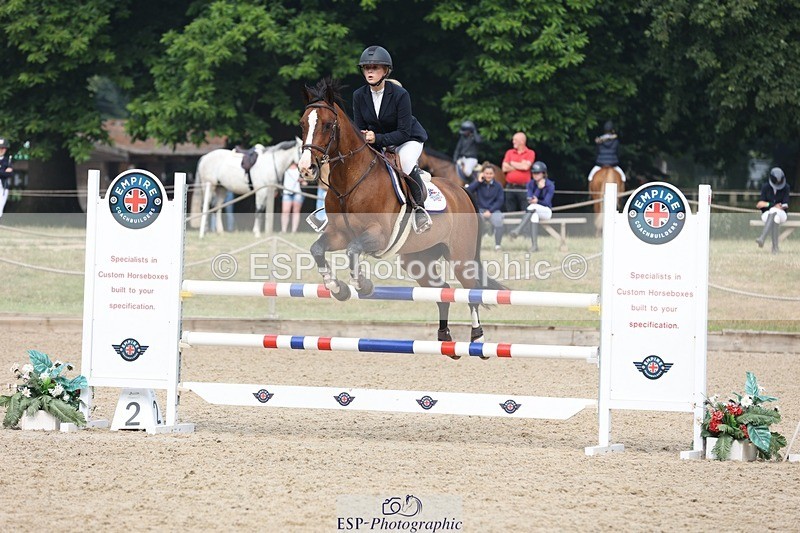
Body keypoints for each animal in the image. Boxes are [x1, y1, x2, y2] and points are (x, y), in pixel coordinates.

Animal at [298, 78, 506, 351]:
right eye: (302, 124)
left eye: (327, 124)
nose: (306, 169)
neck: (349, 181)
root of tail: (461, 191)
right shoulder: (338, 234)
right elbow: (317, 250)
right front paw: (337, 288)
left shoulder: (378, 235)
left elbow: (353, 250)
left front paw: (362, 285)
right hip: (419, 260)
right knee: (442, 290)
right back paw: (445, 339)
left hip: (461, 258)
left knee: (470, 291)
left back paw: (477, 338)